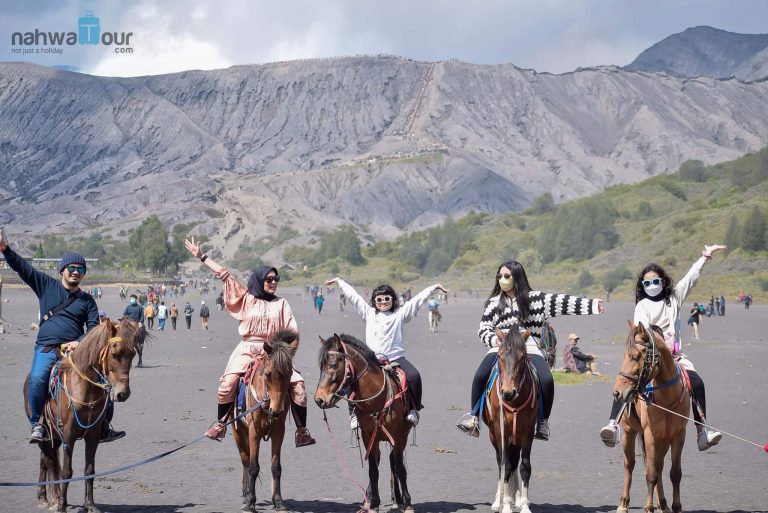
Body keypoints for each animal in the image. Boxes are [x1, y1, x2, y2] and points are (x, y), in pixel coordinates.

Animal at [23, 316, 143, 512]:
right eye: (115, 354)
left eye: (132, 354)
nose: (123, 393)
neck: (84, 388)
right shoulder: (69, 434)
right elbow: (66, 471)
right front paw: (62, 506)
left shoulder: (92, 435)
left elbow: (89, 470)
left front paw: (90, 505)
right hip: (46, 432)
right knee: (49, 461)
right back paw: (52, 499)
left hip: (54, 435)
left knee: (46, 460)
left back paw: (45, 497)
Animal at [230, 328, 298, 512]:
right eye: (267, 374)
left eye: (290, 374)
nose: (277, 411)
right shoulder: (254, 431)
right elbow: (253, 467)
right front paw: (250, 501)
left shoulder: (278, 431)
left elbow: (276, 467)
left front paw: (278, 501)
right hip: (237, 431)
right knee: (245, 461)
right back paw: (246, 495)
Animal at [314, 332, 414, 512]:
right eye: (321, 366)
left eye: (333, 365)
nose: (319, 399)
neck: (376, 400)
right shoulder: (368, 437)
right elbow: (373, 471)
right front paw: (374, 503)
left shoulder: (397, 437)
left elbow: (400, 468)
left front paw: (408, 502)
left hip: (402, 436)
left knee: (393, 462)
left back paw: (398, 497)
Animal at [484, 328, 536, 512]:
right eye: (499, 356)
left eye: (522, 357)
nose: (508, 392)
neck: (514, 402)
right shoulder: (501, 430)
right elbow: (504, 466)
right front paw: (505, 504)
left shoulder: (527, 432)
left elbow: (524, 467)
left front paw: (524, 505)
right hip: (494, 435)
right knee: (502, 463)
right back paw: (499, 500)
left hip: (517, 438)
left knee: (514, 463)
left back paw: (517, 498)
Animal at [612, 320, 688, 512]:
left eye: (634, 356)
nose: (617, 393)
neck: (668, 399)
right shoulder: (650, 435)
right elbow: (650, 474)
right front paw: (648, 507)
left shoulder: (678, 436)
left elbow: (674, 473)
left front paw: (676, 506)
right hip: (629, 432)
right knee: (630, 464)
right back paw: (623, 503)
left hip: (663, 441)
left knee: (659, 467)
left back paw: (663, 504)